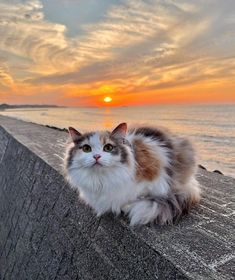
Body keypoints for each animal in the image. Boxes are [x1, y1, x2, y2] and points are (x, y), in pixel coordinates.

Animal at [63, 122, 200, 225]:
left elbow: (139, 195)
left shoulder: (156, 178)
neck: (101, 179)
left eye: (108, 148)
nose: (96, 156)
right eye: (86, 149)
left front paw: (127, 206)